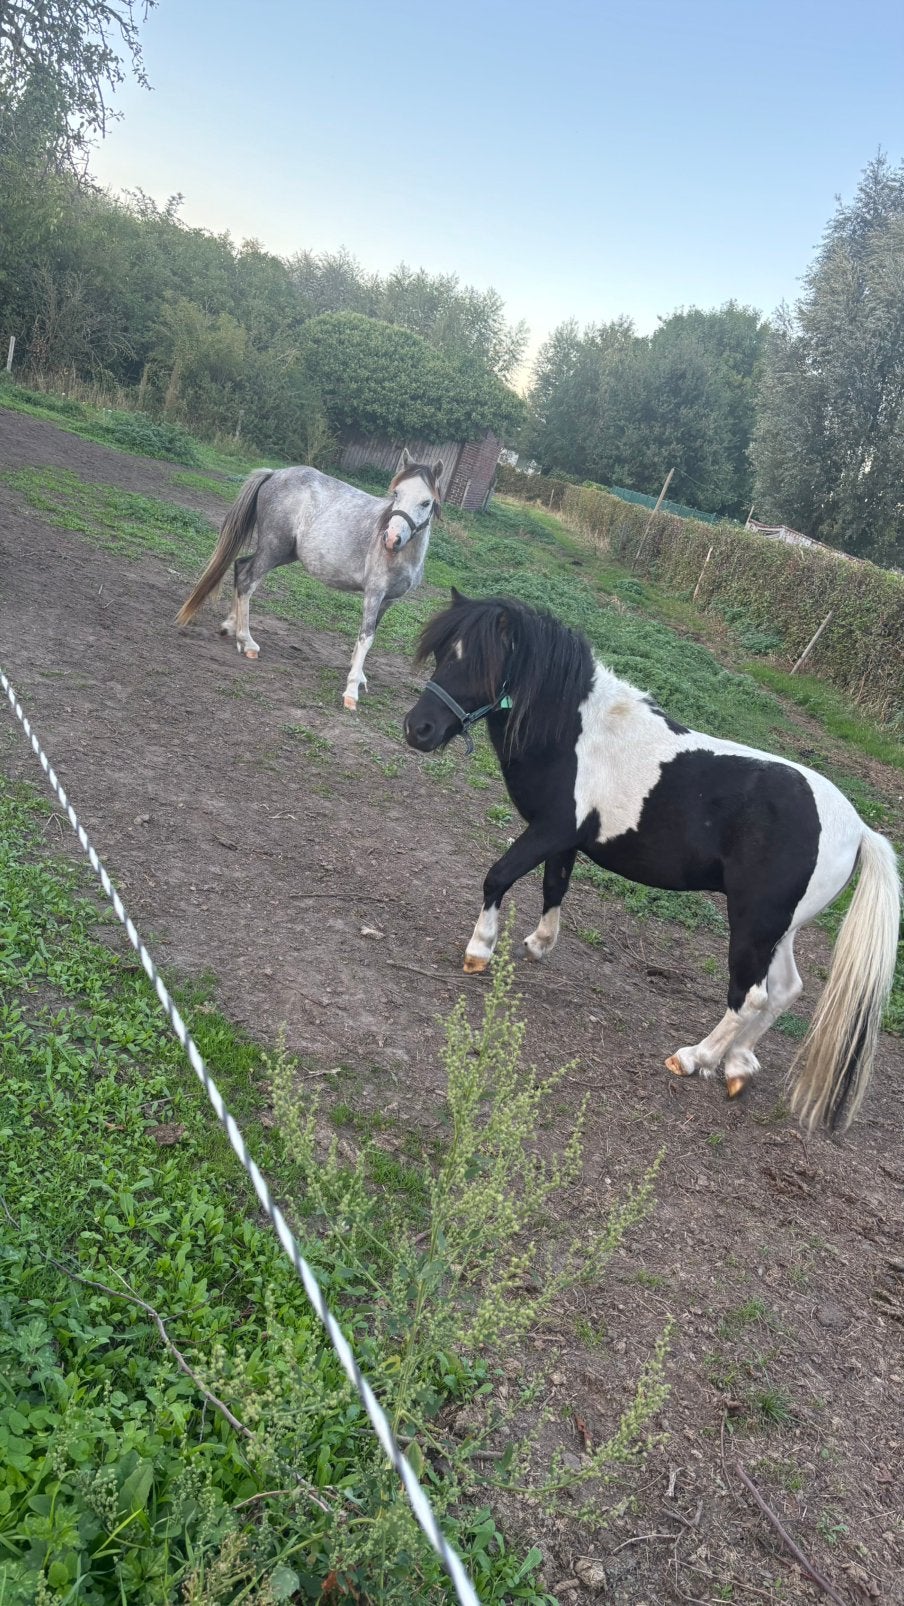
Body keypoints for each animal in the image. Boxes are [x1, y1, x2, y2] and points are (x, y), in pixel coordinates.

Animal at [177, 449, 443, 708]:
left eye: (426, 502)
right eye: (397, 494)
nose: (391, 538)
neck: (402, 556)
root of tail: (274, 474)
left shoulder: (388, 601)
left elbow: (369, 634)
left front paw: (359, 677)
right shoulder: (374, 593)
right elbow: (366, 637)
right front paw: (351, 692)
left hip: (285, 554)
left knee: (241, 569)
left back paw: (231, 627)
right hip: (274, 549)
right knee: (247, 581)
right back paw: (247, 642)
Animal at [403, 591, 902, 1131]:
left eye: (480, 663)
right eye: (441, 653)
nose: (418, 729)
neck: (577, 733)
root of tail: (857, 829)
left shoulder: (549, 830)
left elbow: (498, 877)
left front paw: (480, 949)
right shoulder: (565, 841)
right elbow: (554, 888)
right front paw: (538, 944)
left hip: (753, 923)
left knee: (751, 996)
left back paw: (695, 1058)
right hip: (778, 927)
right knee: (785, 990)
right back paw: (738, 1067)